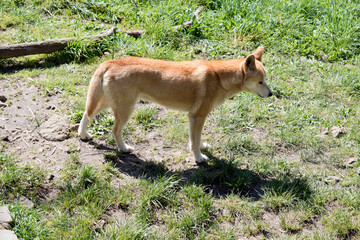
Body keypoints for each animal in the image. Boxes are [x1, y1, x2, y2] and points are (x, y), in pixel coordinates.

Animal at [78, 47, 270, 163]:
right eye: (260, 82)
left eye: (265, 80)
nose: (271, 94)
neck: (219, 77)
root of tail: (110, 62)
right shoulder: (198, 116)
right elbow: (195, 141)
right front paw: (199, 158)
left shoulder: (194, 118)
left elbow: (195, 139)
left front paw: (201, 148)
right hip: (125, 109)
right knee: (115, 130)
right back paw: (124, 148)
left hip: (109, 103)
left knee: (86, 114)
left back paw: (83, 135)